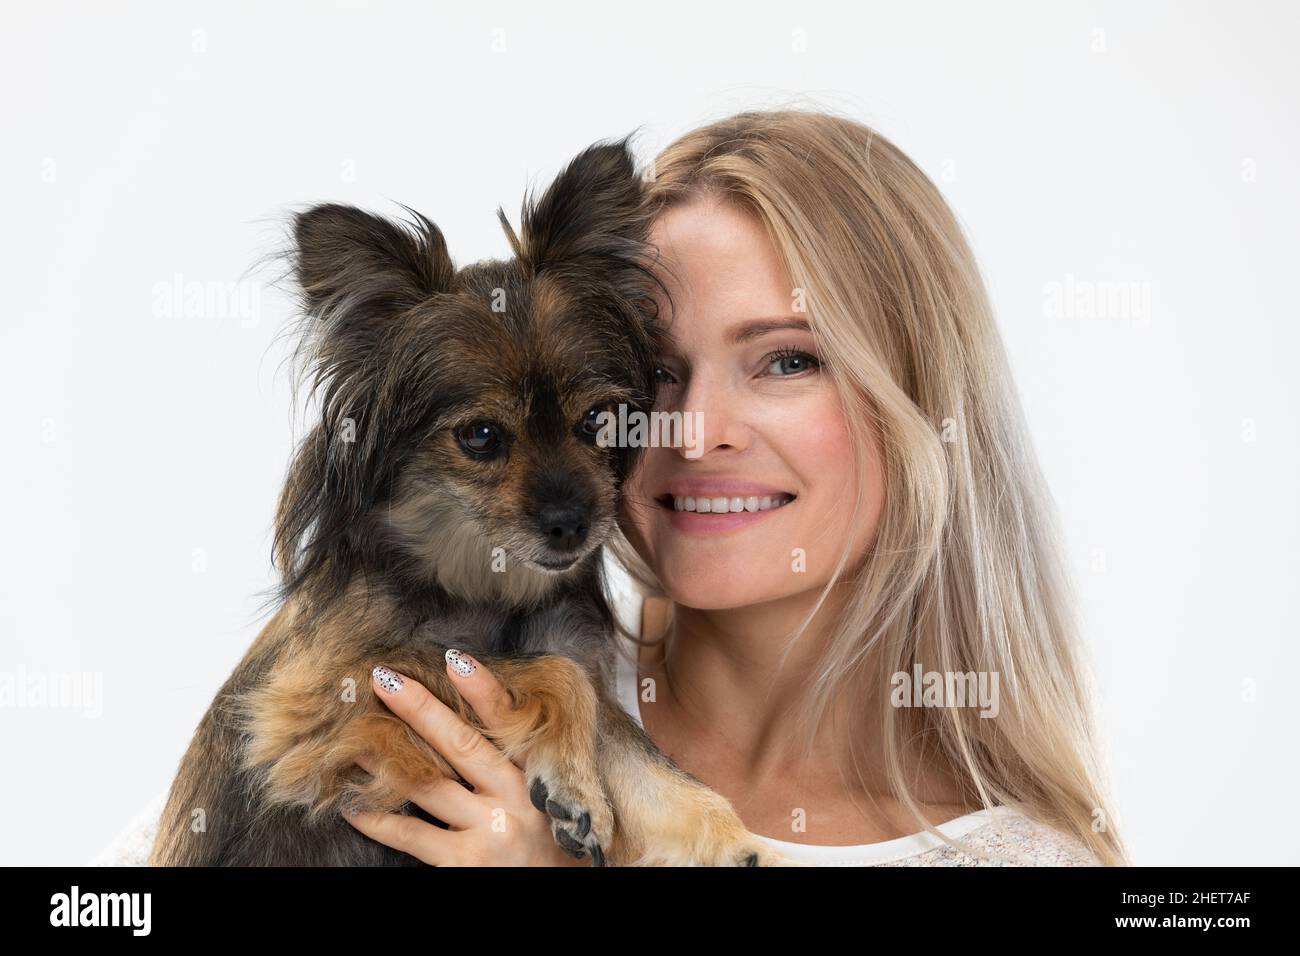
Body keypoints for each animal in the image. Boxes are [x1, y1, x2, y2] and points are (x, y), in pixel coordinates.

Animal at [148, 140, 785, 868]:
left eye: (599, 421)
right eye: (480, 437)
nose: (573, 524)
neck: (485, 588)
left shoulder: (576, 665)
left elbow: (655, 770)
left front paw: (734, 845)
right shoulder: (317, 703)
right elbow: (557, 675)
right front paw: (578, 791)